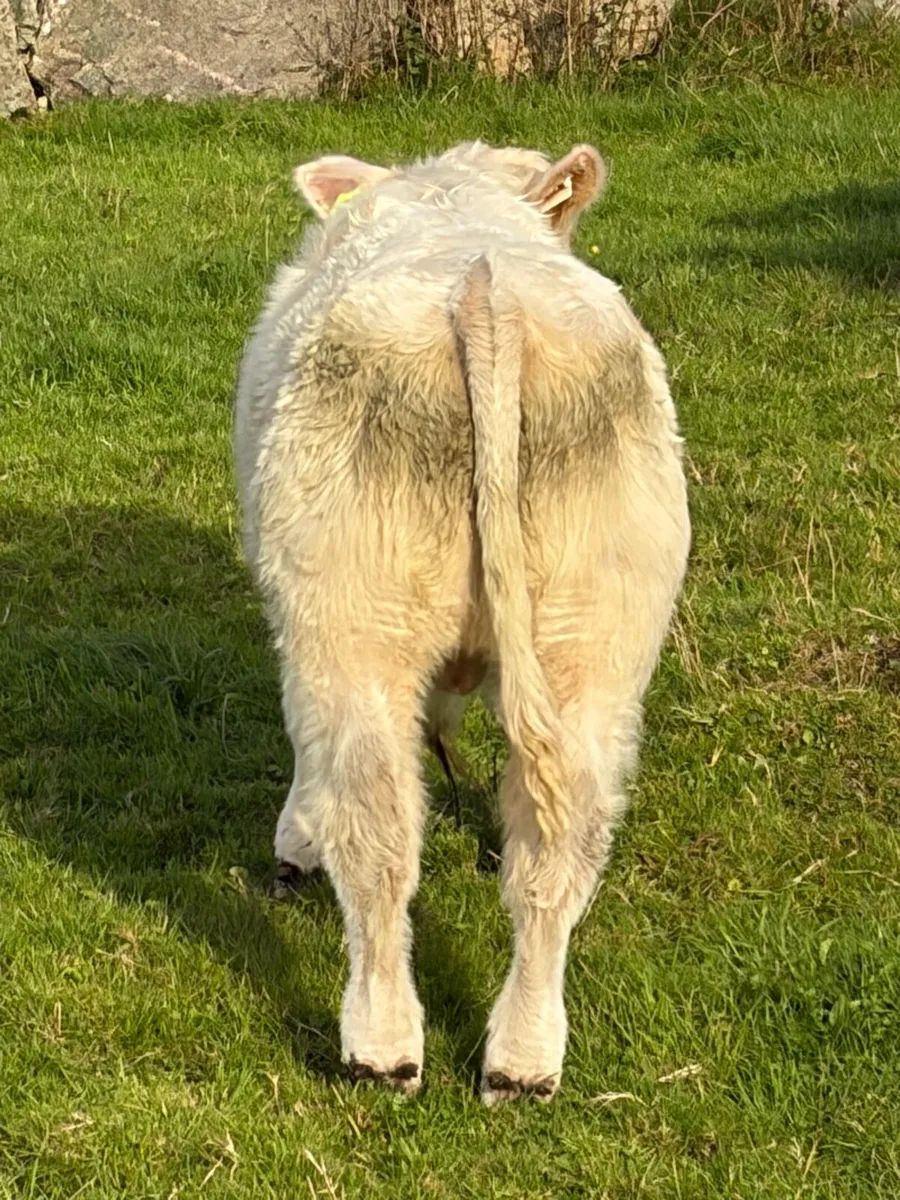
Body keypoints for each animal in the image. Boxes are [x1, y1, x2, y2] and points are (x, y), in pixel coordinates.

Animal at [233, 141, 690, 1104]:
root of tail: (484, 289)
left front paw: (295, 840)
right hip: (595, 647)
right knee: (560, 847)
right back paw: (523, 1060)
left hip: (350, 633)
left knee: (375, 831)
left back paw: (381, 1047)